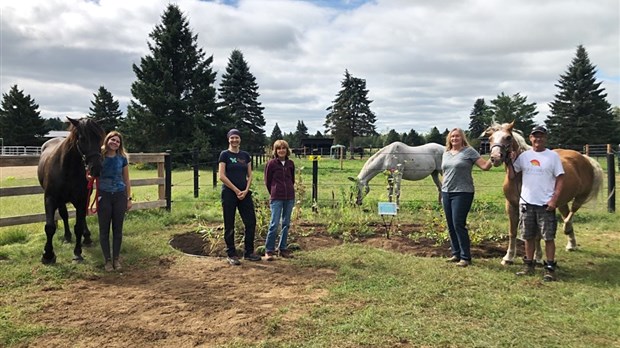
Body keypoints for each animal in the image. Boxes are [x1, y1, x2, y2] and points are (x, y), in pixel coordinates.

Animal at [37, 117, 104, 264]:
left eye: (100, 138)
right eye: (82, 138)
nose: (96, 168)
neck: (67, 169)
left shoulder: (82, 199)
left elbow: (78, 226)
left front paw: (78, 252)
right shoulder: (50, 198)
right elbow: (50, 227)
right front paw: (48, 255)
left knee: (81, 217)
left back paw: (87, 237)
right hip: (61, 200)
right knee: (64, 215)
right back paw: (67, 236)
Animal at [486, 121, 604, 264]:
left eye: (508, 137)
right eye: (490, 138)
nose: (496, 158)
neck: (520, 176)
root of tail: (584, 157)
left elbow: (537, 235)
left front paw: (537, 256)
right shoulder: (511, 206)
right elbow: (512, 233)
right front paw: (508, 258)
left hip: (581, 196)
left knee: (572, 213)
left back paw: (566, 228)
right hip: (561, 202)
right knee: (567, 215)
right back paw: (571, 244)